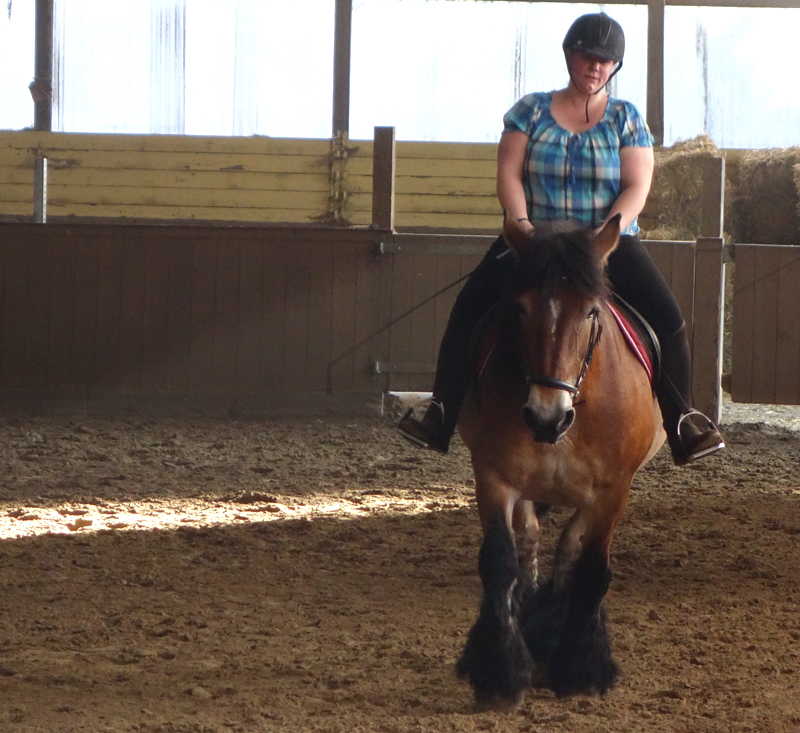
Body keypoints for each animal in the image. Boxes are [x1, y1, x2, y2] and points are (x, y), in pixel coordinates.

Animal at [455, 214, 665, 708]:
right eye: (520, 308)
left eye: (591, 312)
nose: (545, 416)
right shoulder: (493, 477)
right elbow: (500, 560)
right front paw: (499, 673)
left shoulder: (614, 489)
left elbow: (590, 569)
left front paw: (584, 668)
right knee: (530, 538)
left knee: (568, 544)